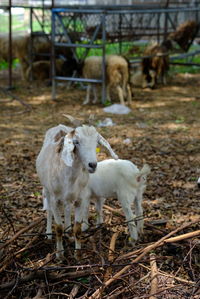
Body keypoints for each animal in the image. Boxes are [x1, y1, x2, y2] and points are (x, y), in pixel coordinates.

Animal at [36, 118, 118, 258]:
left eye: (96, 142)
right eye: (76, 142)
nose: (92, 165)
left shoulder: (80, 198)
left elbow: (78, 228)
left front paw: (78, 254)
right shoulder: (54, 199)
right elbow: (58, 228)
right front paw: (59, 255)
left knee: (68, 209)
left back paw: (68, 231)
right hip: (47, 189)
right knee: (49, 210)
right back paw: (48, 234)